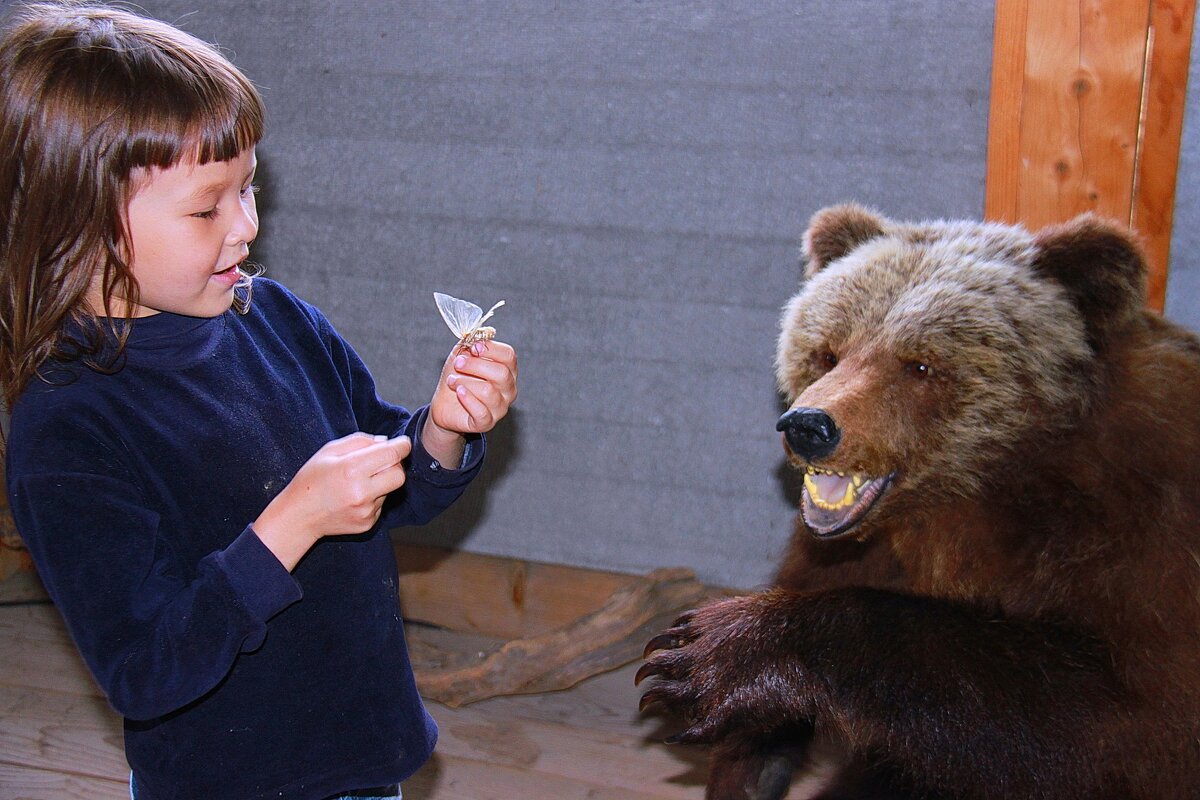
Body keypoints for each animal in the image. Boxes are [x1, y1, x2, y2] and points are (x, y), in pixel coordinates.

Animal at [643, 206, 1200, 800]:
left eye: (920, 365)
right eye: (828, 352)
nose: (809, 426)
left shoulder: (1139, 536)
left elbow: (1113, 712)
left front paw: (706, 654)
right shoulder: (846, 551)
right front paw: (748, 758)